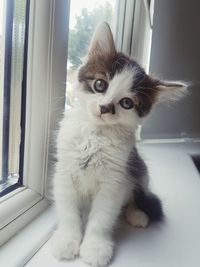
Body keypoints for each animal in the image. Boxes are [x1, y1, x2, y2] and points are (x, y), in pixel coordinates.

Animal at [50, 22, 187, 266]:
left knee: (135, 197)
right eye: (99, 84)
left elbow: (101, 219)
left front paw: (95, 247)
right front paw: (67, 239)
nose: (104, 107)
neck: (95, 135)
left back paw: (137, 214)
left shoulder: (114, 181)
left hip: (139, 169)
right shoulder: (64, 173)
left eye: (126, 103)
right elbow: (68, 212)